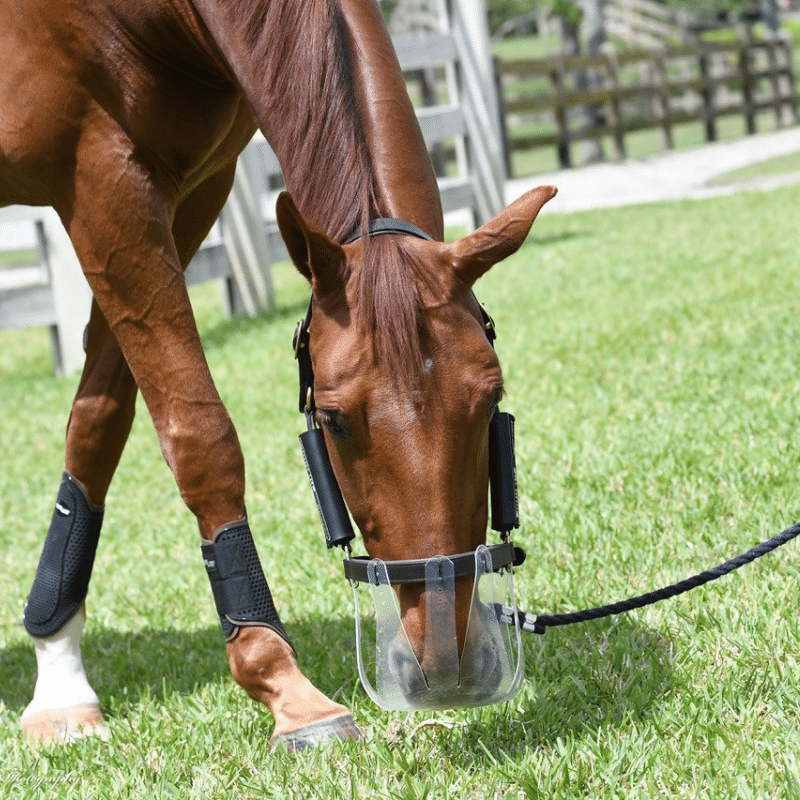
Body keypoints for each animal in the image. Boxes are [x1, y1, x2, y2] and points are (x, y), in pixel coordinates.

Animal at [3, 0, 556, 752]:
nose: (447, 665)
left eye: (490, 395)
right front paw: (286, 687)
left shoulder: (185, 190)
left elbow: (100, 419)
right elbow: (200, 434)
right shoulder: (102, 178)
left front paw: (59, 673)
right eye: (333, 420)